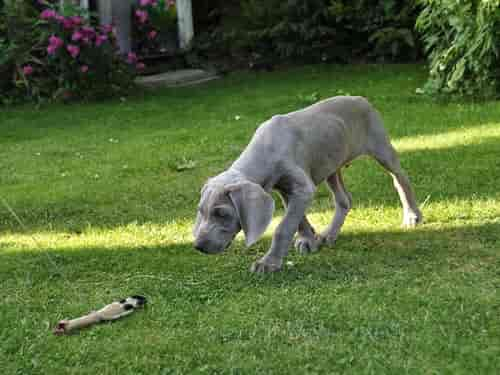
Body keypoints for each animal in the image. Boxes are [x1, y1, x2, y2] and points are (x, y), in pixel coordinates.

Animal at [193, 97, 420, 274]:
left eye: (222, 214)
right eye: (201, 212)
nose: (198, 246)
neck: (264, 151)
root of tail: (361, 99)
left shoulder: (302, 187)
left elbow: (284, 227)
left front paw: (269, 263)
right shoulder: (286, 189)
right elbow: (297, 219)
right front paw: (308, 239)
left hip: (382, 148)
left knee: (400, 179)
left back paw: (412, 216)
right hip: (331, 163)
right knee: (344, 200)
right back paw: (329, 234)